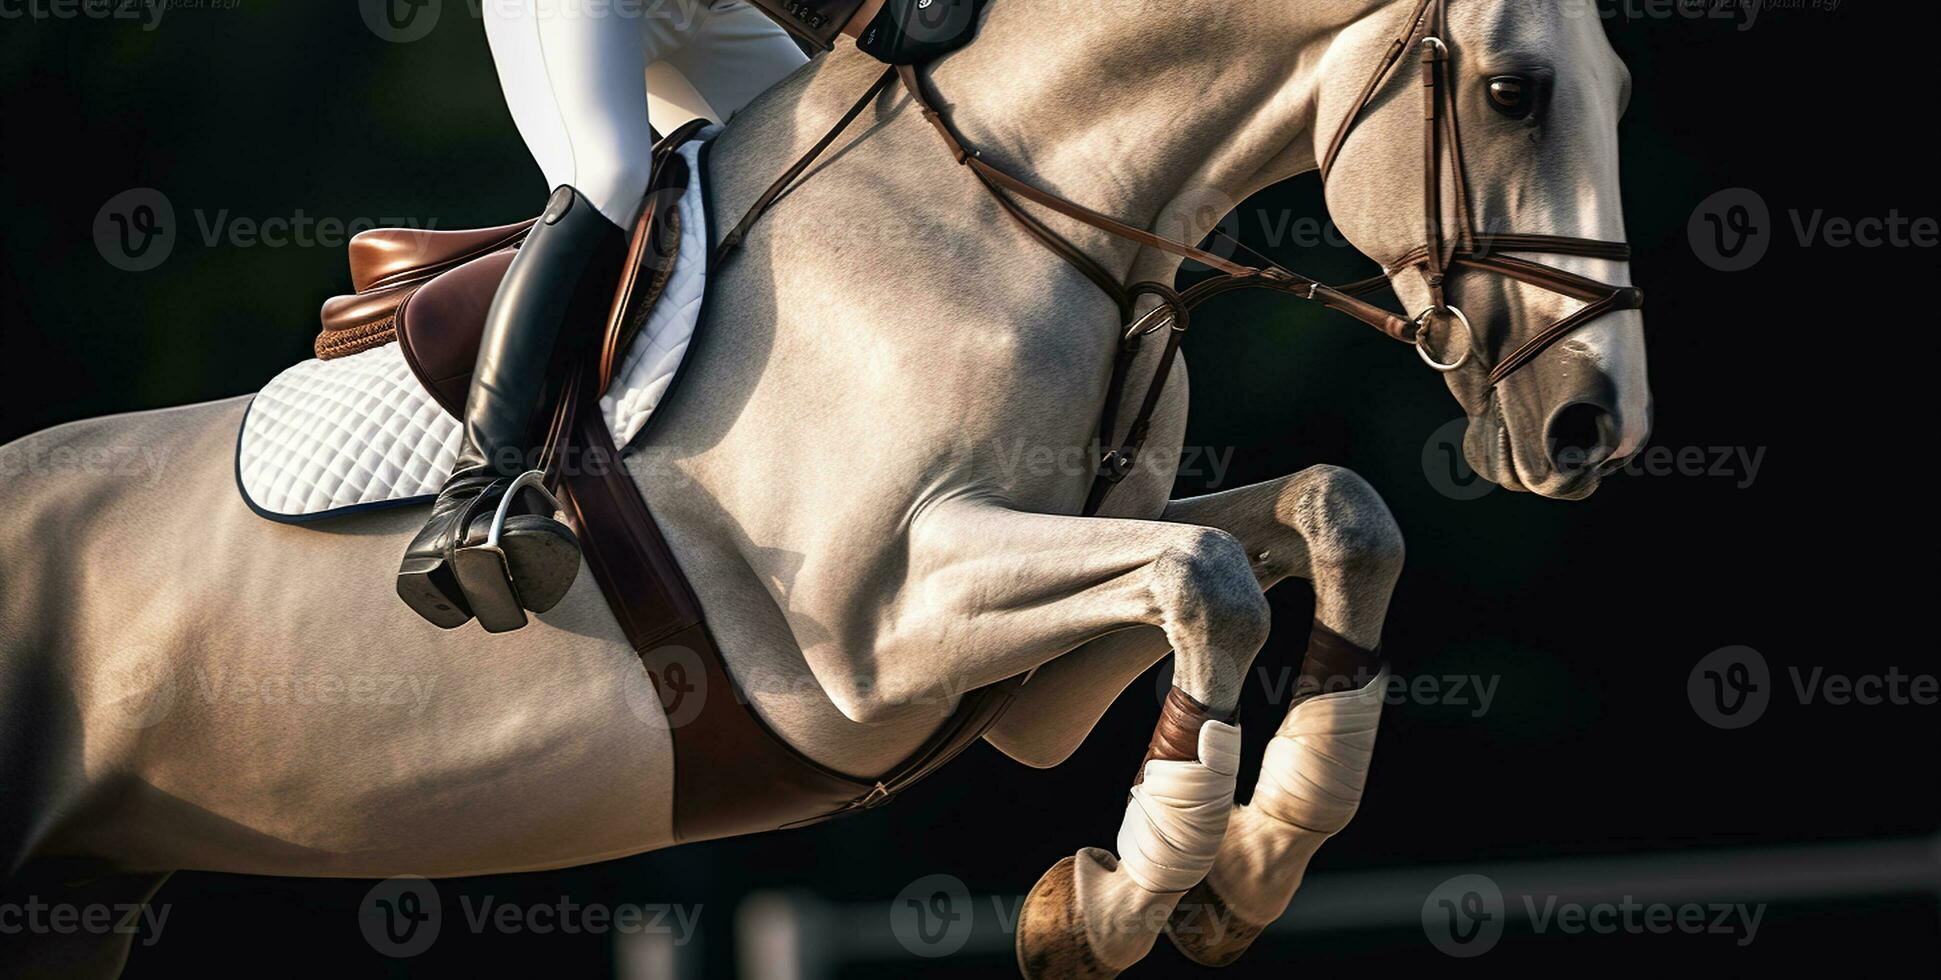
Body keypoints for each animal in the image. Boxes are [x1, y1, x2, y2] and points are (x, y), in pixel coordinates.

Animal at [0, 3, 1645, 974]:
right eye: (1514, 90)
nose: (1591, 425)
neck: (1036, 215)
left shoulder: (1038, 658)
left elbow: (1324, 520)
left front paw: (1241, 867)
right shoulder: (870, 637)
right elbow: (1214, 580)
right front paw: (1113, 903)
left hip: (77, 897)